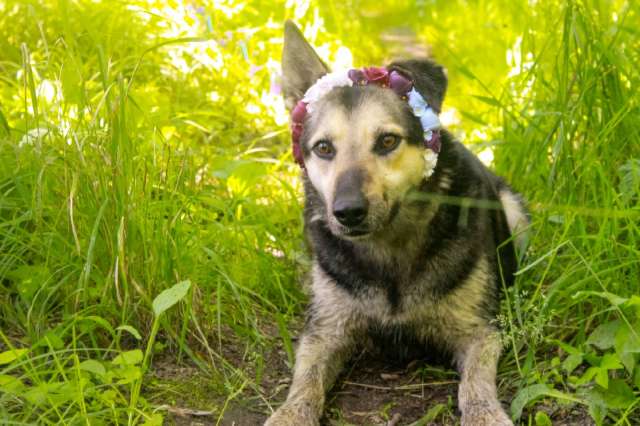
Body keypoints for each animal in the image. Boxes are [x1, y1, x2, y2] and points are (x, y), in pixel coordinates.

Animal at [264, 21, 528, 424]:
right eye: (323, 148)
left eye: (387, 141)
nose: (348, 211)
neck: (389, 250)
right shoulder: (324, 334)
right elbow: (304, 382)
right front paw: (289, 413)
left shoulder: (479, 331)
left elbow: (475, 385)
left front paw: (486, 414)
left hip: (514, 211)